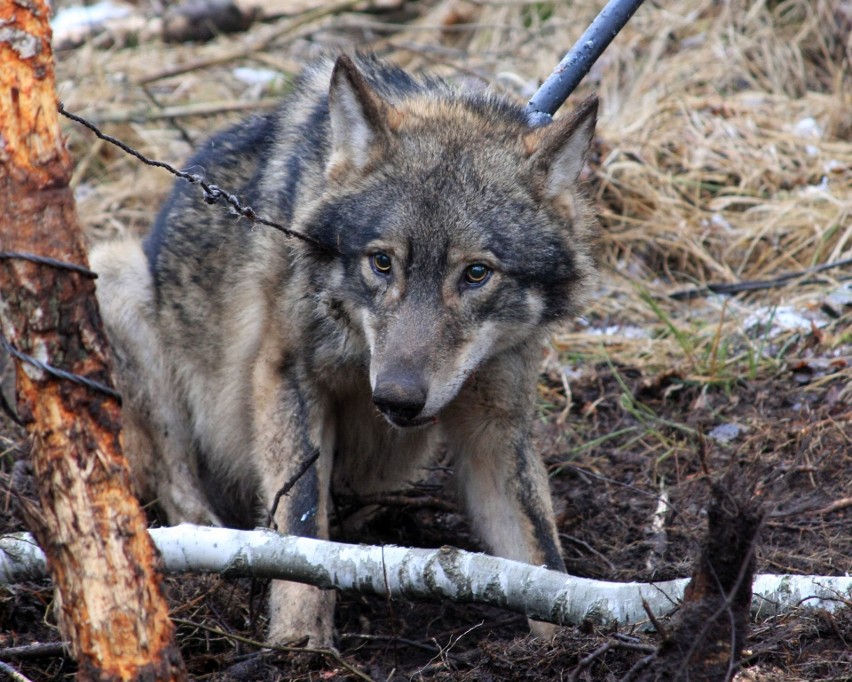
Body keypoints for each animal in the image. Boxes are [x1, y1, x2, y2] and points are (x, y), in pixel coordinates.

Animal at [91, 54, 600, 644]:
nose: (398, 399)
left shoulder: (495, 427)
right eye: (382, 263)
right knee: (177, 493)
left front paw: (572, 639)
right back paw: (221, 572)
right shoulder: (289, 378)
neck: (362, 350)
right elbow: (302, 529)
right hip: (115, 276)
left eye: (476, 274)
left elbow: (542, 559)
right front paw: (300, 644)